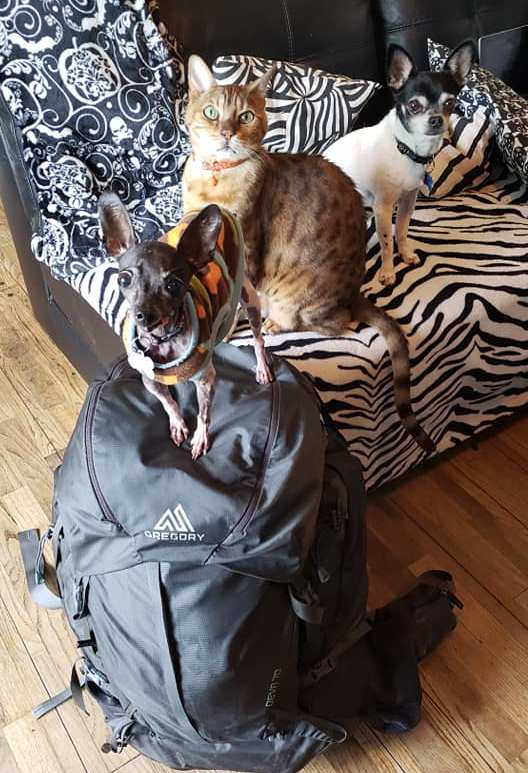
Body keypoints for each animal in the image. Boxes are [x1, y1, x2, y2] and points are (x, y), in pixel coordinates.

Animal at [98, 193, 274, 458]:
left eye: (173, 285)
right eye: (124, 279)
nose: (143, 315)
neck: (163, 338)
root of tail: (223, 210)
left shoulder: (205, 381)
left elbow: (203, 414)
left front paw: (200, 437)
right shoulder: (150, 380)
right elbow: (168, 402)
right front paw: (178, 424)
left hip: (248, 297)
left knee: (258, 339)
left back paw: (262, 367)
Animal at [182, 55, 434, 453]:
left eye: (246, 116)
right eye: (211, 112)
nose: (226, 133)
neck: (213, 181)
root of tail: (354, 295)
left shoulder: (244, 262)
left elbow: (233, 312)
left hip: (298, 298)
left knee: (336, 324)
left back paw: (277, 322)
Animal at [324, 40, 475, 286]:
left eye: (450, 103)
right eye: (413, 106)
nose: (436, 120)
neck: (406, 150)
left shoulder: (407, 200)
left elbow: (402, 230)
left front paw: (405, 254)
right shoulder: (383, 207)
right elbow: (386, 243)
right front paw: (387, 272)